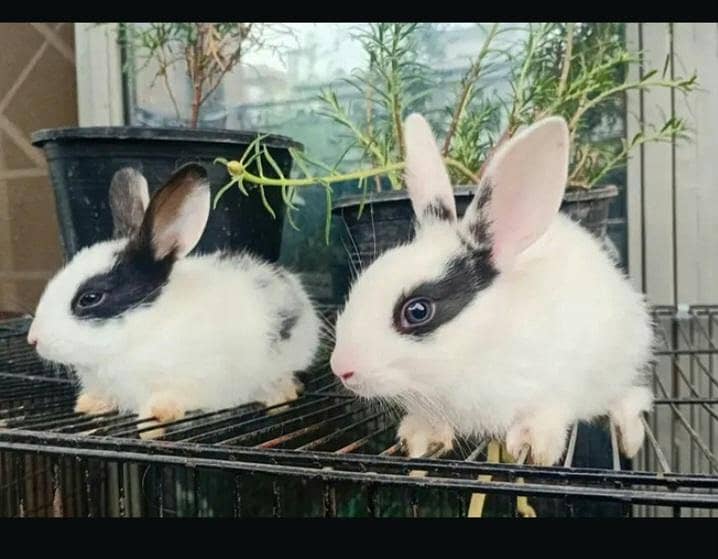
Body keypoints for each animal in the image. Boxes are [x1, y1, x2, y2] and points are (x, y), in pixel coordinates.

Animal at [330, 114, 654, 466]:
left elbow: (545, 415)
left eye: (417, 311)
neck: (478, 346)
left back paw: (629, 437)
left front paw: (534, 444)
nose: (340, 368)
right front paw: (419, 439)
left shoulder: (556, 387)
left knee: (631, 396)